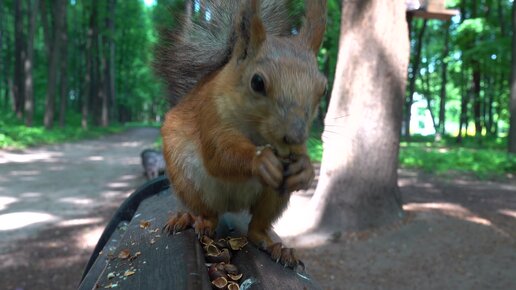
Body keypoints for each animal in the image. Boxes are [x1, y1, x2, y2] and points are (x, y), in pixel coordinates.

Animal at [155, 0, 328, 268]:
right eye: (257, 82)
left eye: (323, 90)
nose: (294, 136)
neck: (258, 135)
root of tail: (232, 206)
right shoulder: (211, 115)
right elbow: (218, 156)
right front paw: (260, 160)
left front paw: (305, 170)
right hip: (187, 181)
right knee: (208, 215)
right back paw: (190, 219)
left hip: (273, 197)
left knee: (256, 229)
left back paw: (277, 247)